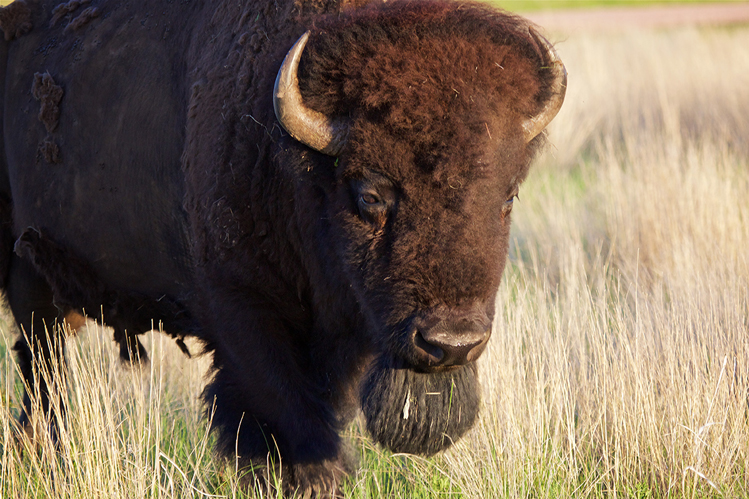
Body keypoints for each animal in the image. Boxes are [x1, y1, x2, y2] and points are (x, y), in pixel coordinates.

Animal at [0, 0, 560, 494]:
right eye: (370, 194)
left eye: (508, 196)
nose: (451, 343)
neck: (296, 169)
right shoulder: (242, 315)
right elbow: (296, 431)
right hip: (30, 284)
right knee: (44, 376)